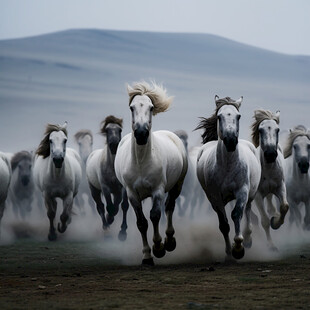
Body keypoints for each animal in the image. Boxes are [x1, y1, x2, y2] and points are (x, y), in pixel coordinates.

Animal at [114, 81, 186, 266]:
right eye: (131, 107)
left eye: (151, 107)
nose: (141, 134)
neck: (141, 162)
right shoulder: (132, 194)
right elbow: (141, 223)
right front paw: (147, 256)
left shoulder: (157, 190)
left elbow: (155, 215)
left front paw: (159, 247)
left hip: (177, 186)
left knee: (169, 207)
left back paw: (169, 241)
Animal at [196, 96, 262, 260]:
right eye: (219, 116)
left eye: (238, 116)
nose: (231, 141)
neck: (227, 166)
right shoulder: (215, 197)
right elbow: (224, 225)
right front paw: (229, 253)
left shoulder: (242, 191)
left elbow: (237, 214)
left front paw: (239, 247)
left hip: (250, 194)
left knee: (248, 211)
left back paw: (248, 239)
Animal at [251, 109, 290, 249]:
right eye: (260, 130)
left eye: (277, 130)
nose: (270, 154)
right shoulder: (258, 196)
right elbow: (265, 221)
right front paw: (271, 245)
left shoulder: (280, 187)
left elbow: (284, 206)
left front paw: (276, 222)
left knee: (270, 206)